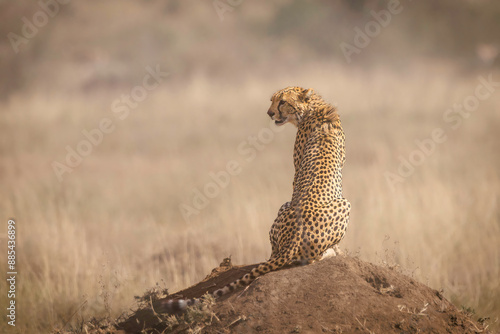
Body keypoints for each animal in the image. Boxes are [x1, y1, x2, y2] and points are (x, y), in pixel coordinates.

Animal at [162, 87, 350, 314]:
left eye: (282, 102)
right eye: (273, 100)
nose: (269, 113)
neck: (314, 108)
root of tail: (290, 242)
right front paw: (339, 250)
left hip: (306, 207)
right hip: (320, 205)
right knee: (304, 258)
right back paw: (330, 252)